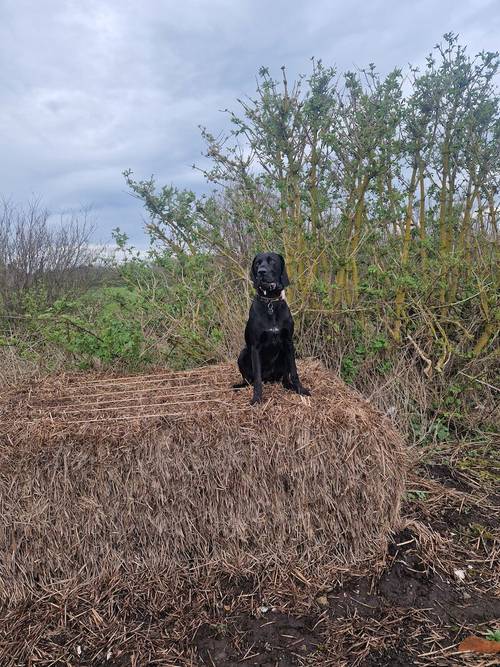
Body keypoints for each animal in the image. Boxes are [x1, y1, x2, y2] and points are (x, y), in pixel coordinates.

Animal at [234, 252, 308, 404]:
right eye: (257, 263)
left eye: (272, 261)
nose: (261, 272)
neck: (270, 302)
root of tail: (269, 378)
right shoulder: (255, 347)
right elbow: (257, 378)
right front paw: (257, 398)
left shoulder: (288, 342)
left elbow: (294, 371)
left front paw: (300, 389)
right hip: (243, 353)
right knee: (250, 380)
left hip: (284, 355)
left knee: (285, 378)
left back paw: (289, 386)